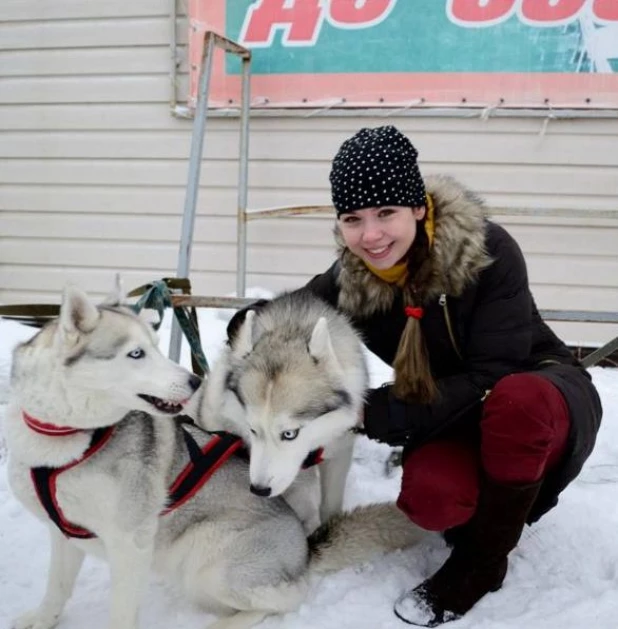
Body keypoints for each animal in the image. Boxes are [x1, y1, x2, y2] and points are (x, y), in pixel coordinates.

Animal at [197, 290, 366, 528]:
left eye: (289, 434)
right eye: (252, 429)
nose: (259, 489)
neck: (291, 327)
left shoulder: (339, 451)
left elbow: (330, 505)